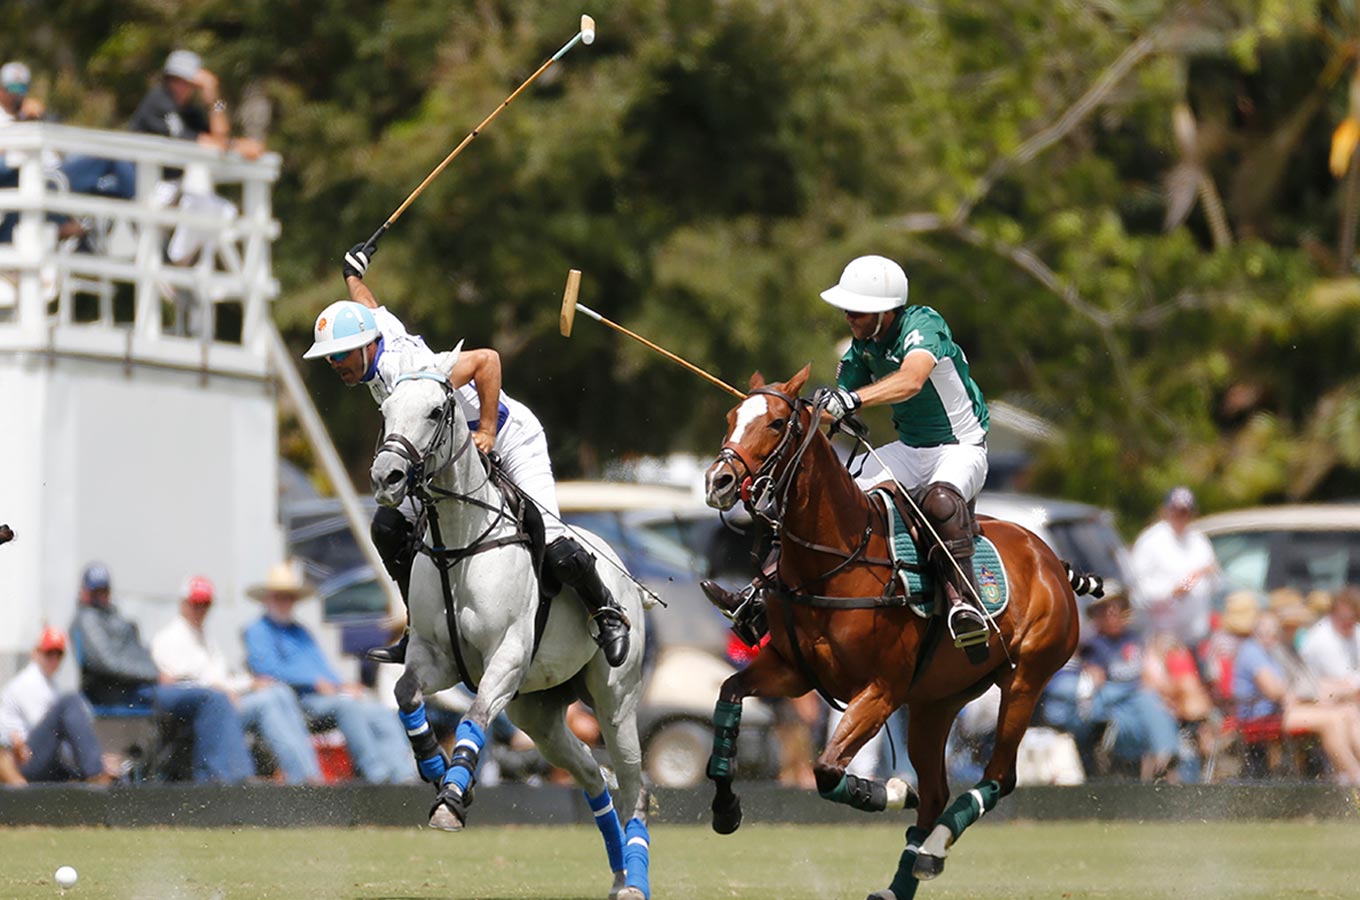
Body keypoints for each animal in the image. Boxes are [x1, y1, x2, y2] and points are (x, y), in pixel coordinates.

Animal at [369, 364, 650, 900]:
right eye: (386, 410)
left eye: (434, 411)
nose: (386, 476)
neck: (459, 544)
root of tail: (625, 571)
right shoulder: (437, 657)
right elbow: (406, 692)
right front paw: (436, 772)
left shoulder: (507, 656)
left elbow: (475, 714)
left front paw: (451, 799)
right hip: (538, 713)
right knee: (593, 776)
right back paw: (619, 872)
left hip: (615, 700)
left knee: (633, 787)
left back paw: (636, 883)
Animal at [701, 369, 1082, 900]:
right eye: (732, 416)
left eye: (776, 423)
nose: (719, 481)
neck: (833, 562)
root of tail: (1051, 560)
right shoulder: (792, 671)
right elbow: (730, 694)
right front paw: (725, 808)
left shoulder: (880, 690)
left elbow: (827, 769)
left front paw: (894, 791)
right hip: (935, 701)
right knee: (939, 790)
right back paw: (902, 880)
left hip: (1025, 679)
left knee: (999, 776)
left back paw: (932, 849)